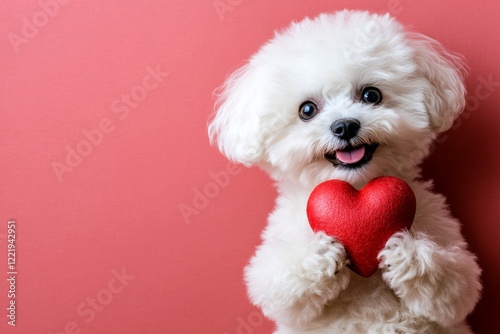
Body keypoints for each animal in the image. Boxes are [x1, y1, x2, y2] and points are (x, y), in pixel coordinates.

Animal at [208, 10, 480, 334]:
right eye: (307, 110)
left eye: (371, 95)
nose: (345, 126)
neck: (358, 185)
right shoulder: (276, 270)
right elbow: (277, 286)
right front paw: (321, 254)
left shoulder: (449, 249)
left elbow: (457, 285)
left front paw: (408, 255)